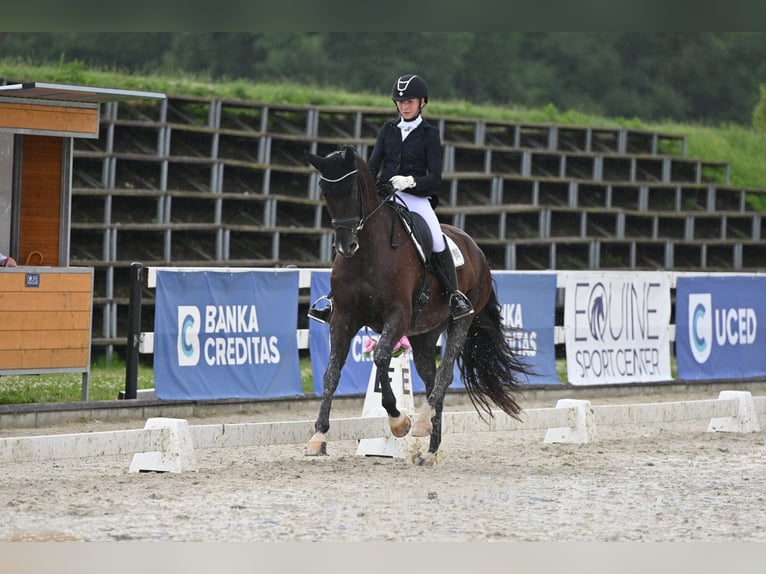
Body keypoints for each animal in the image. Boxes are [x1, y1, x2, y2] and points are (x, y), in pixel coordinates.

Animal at [306, 146, 536, 466]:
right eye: (325, 191)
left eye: (352, 189)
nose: (345, 246)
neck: (367, 253)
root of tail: (475, 248)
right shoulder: (343, 318)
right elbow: (331, 372)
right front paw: (318, 436)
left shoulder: (398, 315)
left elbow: (381, 358)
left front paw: (398, 421)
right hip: (424, 334)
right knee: (430, 378)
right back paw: (430, 448)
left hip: (461, 319)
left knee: (445, 373)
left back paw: (422, 423)